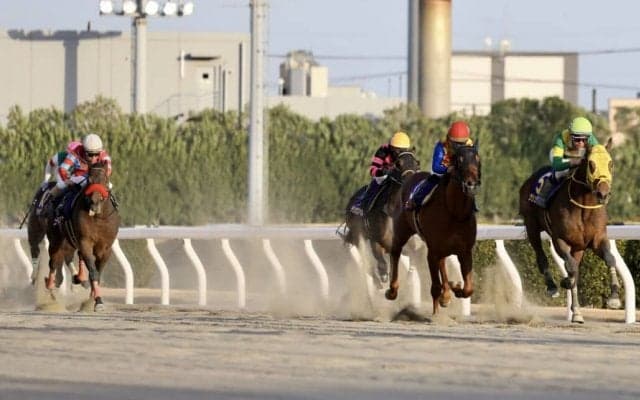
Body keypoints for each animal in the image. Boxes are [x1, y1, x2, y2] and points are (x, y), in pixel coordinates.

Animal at [45, 161, 120, 311]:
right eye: (89, 180)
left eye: (105, 179)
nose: (95, 202)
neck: (99, 217)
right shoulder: (85, 241)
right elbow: (93, 271)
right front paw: (98, 301)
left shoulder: (106, 248)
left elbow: (98, 272)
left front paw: (92, 298)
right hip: (56, 239)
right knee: (54, 262)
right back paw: (51, 294)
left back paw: (79, 278)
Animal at [340, 151, 421, 286]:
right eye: (398, 164)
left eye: (416, 163)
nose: (411, 181)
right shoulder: (376, 240)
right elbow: (381, 263)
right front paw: (383, 277)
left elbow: (413, 257)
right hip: (358, 235)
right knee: (366, 263)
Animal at [386, 144, 481, 315]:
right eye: (459, 160)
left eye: (477, 159)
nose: (471, 184)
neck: (454, 212)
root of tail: (410, 176)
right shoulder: (433, 251)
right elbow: (435, 287)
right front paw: (436, 314)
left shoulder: (464, 250)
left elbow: (468, 289)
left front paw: (455, 288)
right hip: (402, 228)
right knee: (395, 251)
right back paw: (392, 290)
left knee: (442, 265)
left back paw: (447, 293)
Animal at [518, 140, 619, 323]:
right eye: (591, 164)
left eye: (610, 163)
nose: (603, 194)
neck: (583, 206)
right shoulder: (560, 240)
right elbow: (571, 268)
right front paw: (566, 285)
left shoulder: (597, 239)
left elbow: (609, 259)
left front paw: (614, 297)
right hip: (531, 225)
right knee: (541, 255)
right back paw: (552, 287)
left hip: (578, 247)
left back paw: (575, 307)